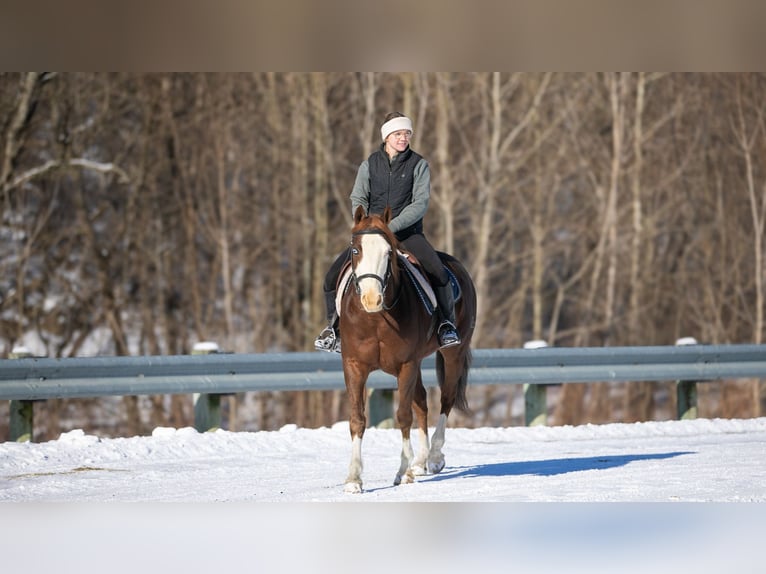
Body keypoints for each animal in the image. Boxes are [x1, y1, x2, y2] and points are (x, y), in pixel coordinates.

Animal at [340, 207, 474, 496]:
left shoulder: (406, 365)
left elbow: (403, 415)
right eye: (355, 250)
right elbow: (357, 419)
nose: (371, 299)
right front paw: (354, 479)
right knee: (422, 402)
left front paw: (403, 472)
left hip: (454, 353)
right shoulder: (354, 365)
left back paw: (434, 458)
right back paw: (420, 462)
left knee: (445, 399)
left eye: (388, 252)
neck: (376, 319)